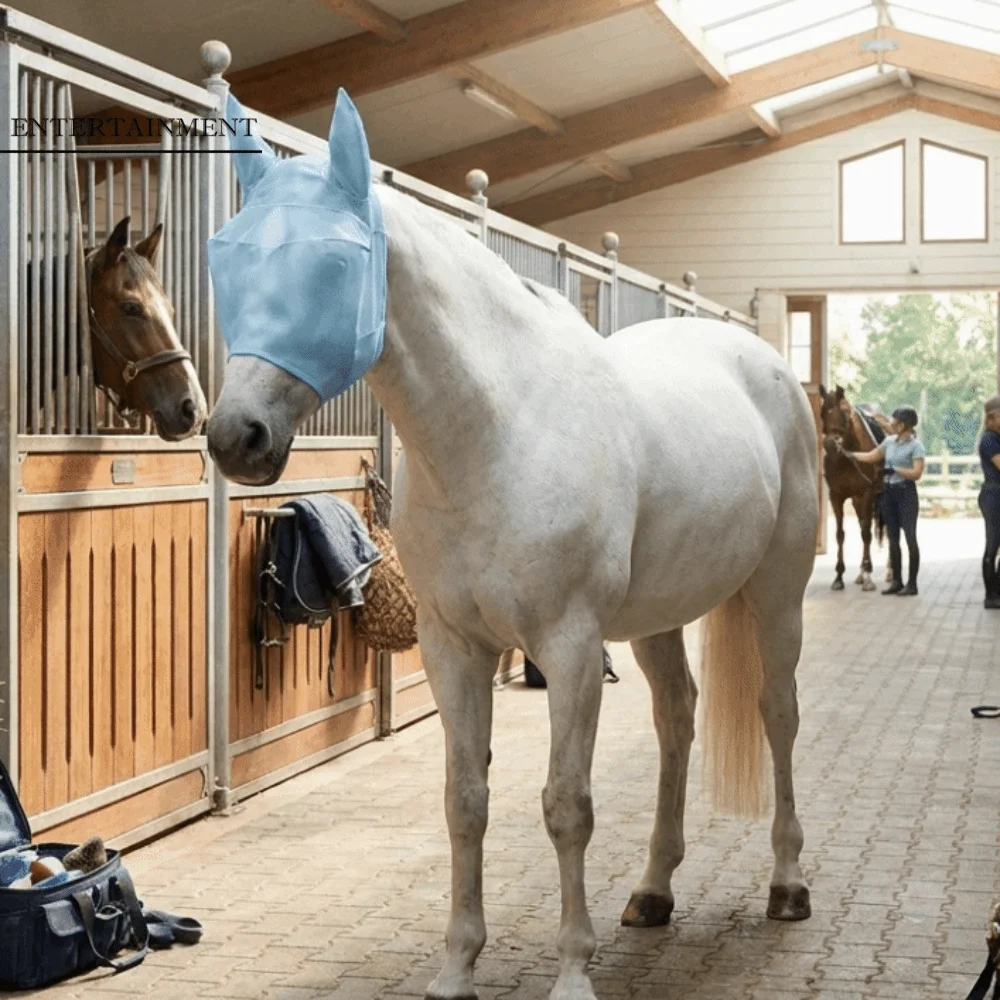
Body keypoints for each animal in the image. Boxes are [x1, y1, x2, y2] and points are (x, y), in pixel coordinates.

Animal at [205, 89, 819, 1000]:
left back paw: (786, 885)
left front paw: (572, 972)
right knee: (677, 720)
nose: (233, 437)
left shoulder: (568, 647)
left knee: (779, 715)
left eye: (337, 265)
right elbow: (465, 800)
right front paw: (457, 968)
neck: (499, 434)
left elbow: (566, 806)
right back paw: (652, 891)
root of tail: (762, 360)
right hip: (659, 619)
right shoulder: (454, 647)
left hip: (776, 595)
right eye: (230, 263)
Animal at [817, 385, 892, 591]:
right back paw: (860, 573)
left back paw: (889, 572)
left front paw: (868, 577)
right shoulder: (836, 496)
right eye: (822, 412)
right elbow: (840, 534)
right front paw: (839, 577)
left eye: (844, 411)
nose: (830, 445)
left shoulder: (866, 494)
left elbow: (867, 534)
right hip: (858, 502)